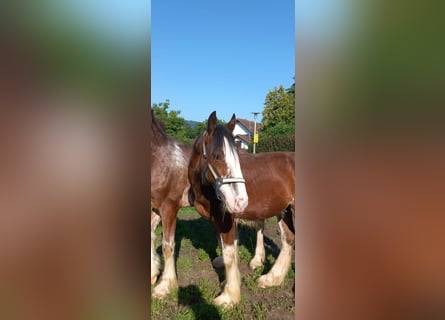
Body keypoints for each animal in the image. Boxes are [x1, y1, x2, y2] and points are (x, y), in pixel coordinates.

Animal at [188, 111, 294, 306]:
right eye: (217, 156)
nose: (241, 201)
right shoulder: (217, 221)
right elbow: (226, 248)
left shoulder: (226, 220)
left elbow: (229, 254)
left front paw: (229, 296)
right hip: (285, 209)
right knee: (288, 238)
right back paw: (272, 278)